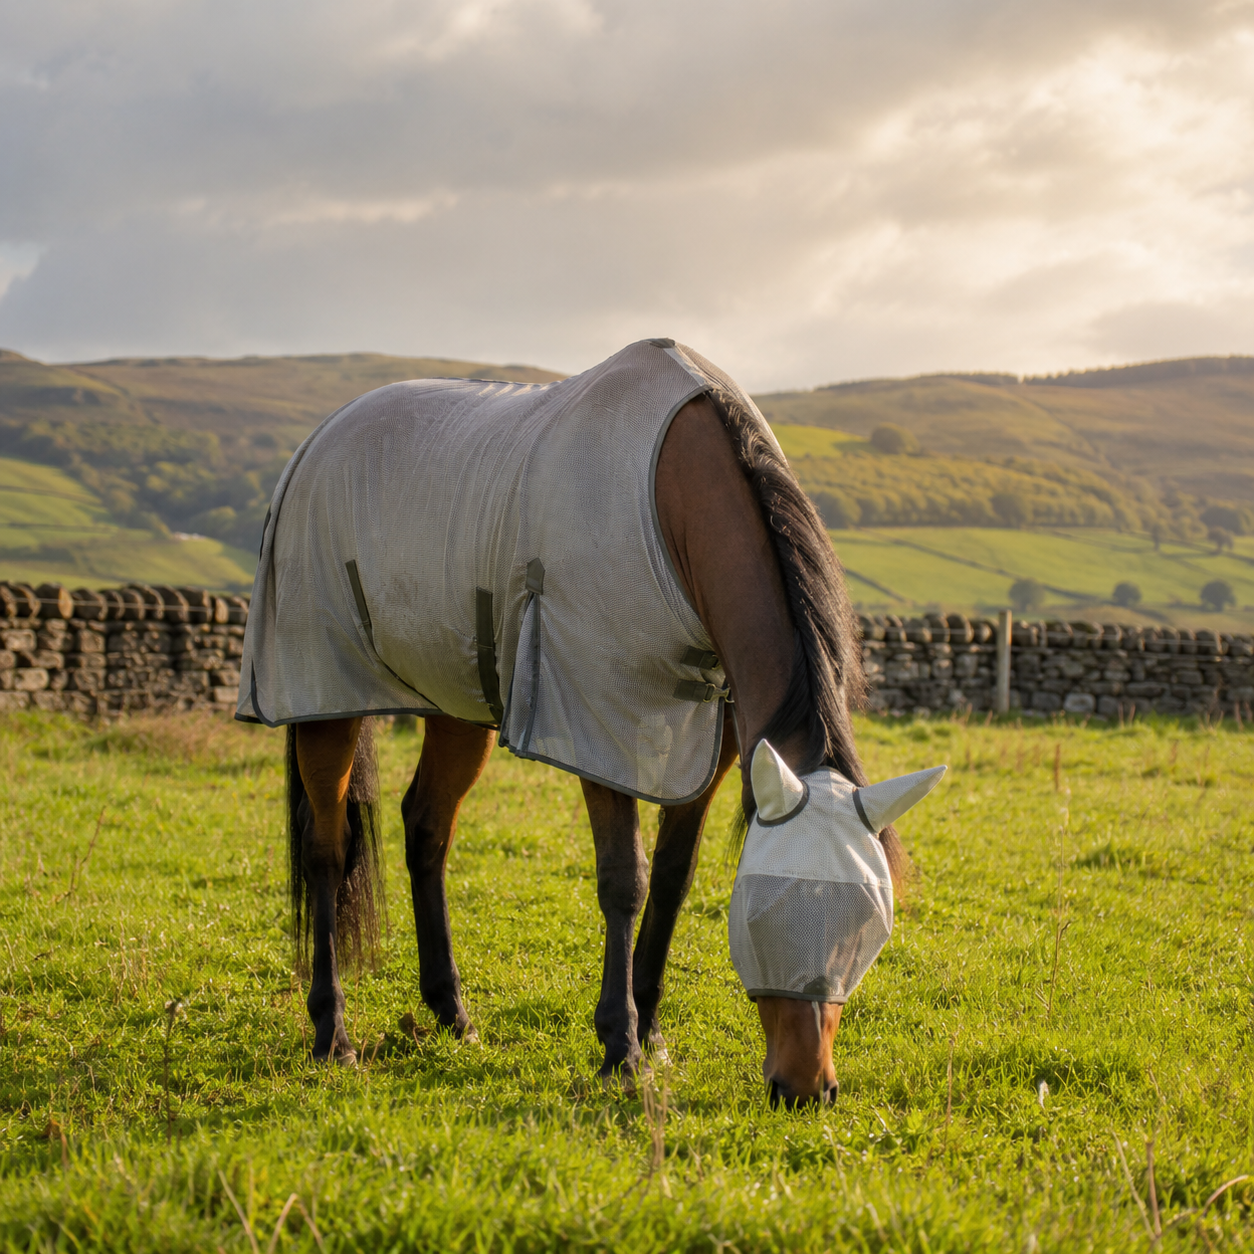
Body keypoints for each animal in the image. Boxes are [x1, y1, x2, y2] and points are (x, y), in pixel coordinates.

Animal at [241, 340, 907, 1108]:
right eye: (769, 906)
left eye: (870, 923)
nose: (807, 1088)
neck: (669, 498)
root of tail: (318, 442)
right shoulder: (600, 721)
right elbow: (625, 880)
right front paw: (620, 1045)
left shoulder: (714, 746)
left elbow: (673, 879)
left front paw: (650, 1029)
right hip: (325, 698)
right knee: (326, 847)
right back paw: (333, 1033)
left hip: (457, 703)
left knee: (426, 828)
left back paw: (452, 1013)